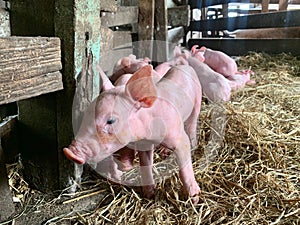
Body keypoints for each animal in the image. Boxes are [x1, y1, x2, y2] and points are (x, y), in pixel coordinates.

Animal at [64, 63, 203, 204]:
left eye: (110, 121)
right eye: (86, 114)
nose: (69, 152)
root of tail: (184, 66)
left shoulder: (178, 136)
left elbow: (184, 164)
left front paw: (195, 199)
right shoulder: (144, 144)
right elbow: (145, 164)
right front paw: (149, 195)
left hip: (198, 99)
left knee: (192, 123)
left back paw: (193, 145)